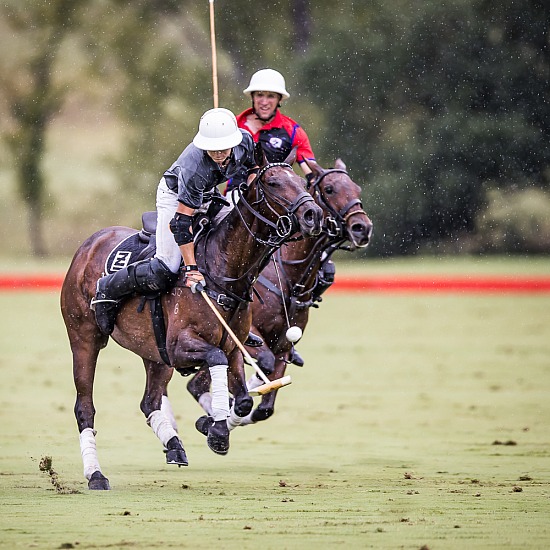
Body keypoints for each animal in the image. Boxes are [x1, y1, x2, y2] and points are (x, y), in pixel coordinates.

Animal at [61, 161, 324, 492]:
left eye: (302, 182)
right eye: (273, 183)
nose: (313, 214)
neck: (223, 272)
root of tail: (88, 244)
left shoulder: (233, 346)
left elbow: (242, 399)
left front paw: (214, 428)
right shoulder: (181, 346)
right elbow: (215, 360)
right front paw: (216, 430)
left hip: (154, 353)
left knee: (149, 401)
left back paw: (174, 445)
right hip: (84, 338)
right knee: (84, 407)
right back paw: (96, 475)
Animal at [187, 160, 376, 432]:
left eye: (357, 188)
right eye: (329, 189)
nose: (362, 228)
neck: (290, 276)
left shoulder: (283, 345)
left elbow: (265, 408)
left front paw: (221, 418)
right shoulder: (249, 335)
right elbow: (261, 365)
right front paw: (218, 418)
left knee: (197, 383)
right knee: (197, 383)